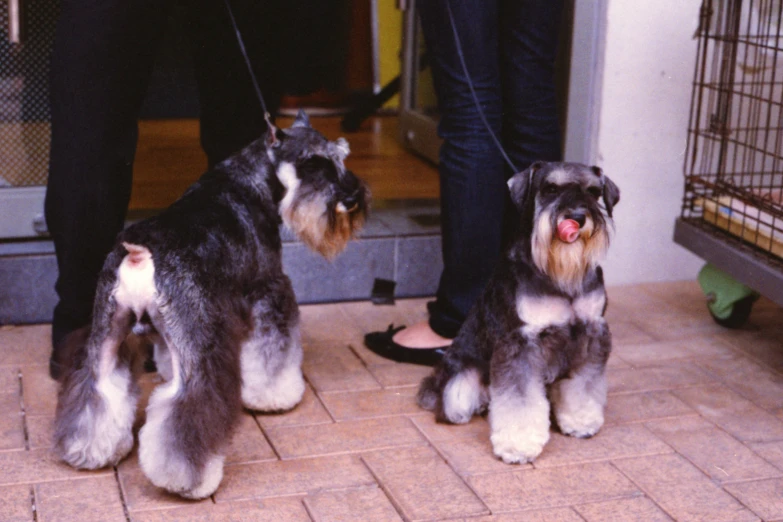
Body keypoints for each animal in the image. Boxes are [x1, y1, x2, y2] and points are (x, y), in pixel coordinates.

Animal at [52, 109, 370, 496]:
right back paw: (188, 480)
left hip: (107, 334)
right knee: (187, 411)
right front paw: (276, 396)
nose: (352, 198)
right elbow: (273, 355)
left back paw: (89, 450)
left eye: (340, 158)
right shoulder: (267, 291)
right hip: (195, 348)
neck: (248, 182)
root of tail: (139, 254)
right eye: (313, 163)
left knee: (97, 389)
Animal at [416, 160, 620, 462]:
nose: (577, 217)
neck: (561, 276)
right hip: (458, 385)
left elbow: (583, 384)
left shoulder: (591, 334)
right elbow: (519, 400)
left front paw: (581, 420)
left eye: (593, 192)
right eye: (550, 189)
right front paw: (518, 445)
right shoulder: (520, 342)